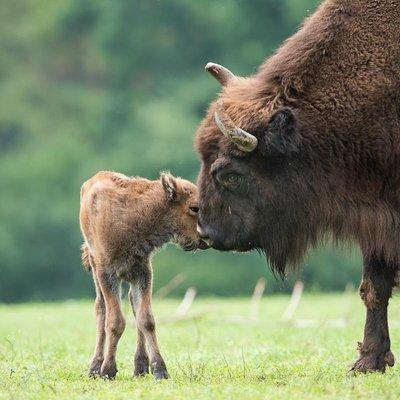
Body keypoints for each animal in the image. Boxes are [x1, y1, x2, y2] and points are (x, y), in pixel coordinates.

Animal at [80, 170, 208, 380]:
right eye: (194, 207)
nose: (206, 237)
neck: (135, 213)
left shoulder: (142, 273)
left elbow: (146, 320)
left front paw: (160, 370)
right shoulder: (107, 274)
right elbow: (115, 321)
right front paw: (108, 370)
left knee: (133, 306)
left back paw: (140, 367)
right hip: (96, 268)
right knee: (101, 309)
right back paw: (95, 367)